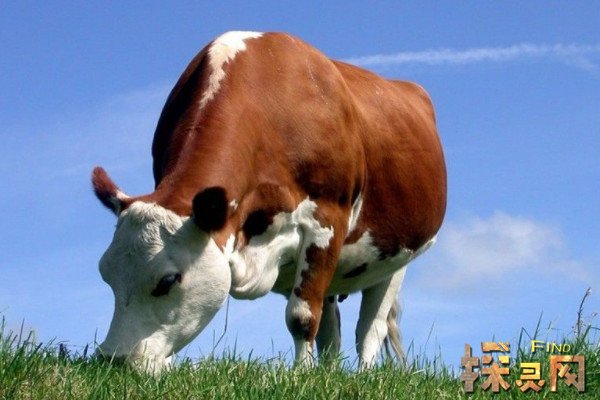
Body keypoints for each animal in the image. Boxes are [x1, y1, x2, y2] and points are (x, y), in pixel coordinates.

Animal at [92, 31, 446, 373]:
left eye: (168, 280)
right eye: (105, 273)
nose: (113, 360)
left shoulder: (326, 221)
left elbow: (302, 317)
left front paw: (301, 376)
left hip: (397, 258)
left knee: (369, 328)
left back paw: (362, 374)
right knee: (332, 329)